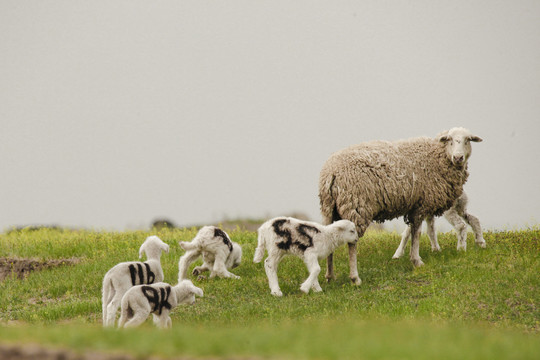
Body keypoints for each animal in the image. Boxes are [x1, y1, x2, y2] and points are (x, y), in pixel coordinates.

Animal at [318, 126, 484, 284]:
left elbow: (414, 232)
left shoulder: (416, 206)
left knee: (329, 238)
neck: (437, 155)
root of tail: (331, 173)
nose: (458, 157)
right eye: (449, 140)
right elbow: (417, 234)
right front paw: (416, 261)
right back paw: (355, 278)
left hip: (329, 209)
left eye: (467, 140)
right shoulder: (421, 205)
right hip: (356, 207)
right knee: (352, 244)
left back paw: (330, 276)